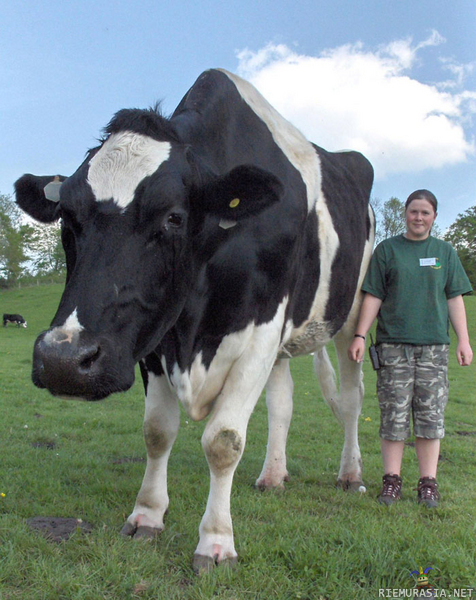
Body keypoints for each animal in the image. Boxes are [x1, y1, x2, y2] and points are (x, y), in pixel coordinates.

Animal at [15, 69, 376, 572]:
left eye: (173, 217)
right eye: (68, 218)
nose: (64, 361)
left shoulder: (262, 329)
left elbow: (223, 441)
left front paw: (216, 542)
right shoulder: (152, 336)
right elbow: (157, 431)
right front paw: (147, 516)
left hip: (352, 316)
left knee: (351, 398)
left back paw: (350, 473)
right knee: (282, 401)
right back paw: (273, 475)